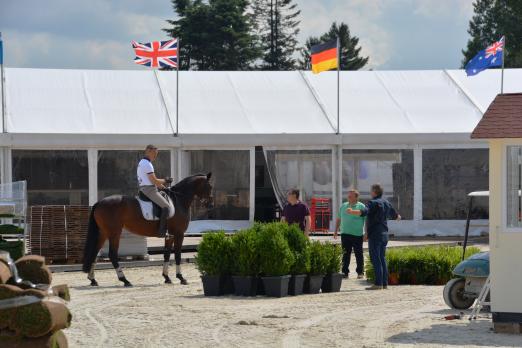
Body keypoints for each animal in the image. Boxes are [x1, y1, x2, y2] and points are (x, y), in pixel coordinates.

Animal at [81, 173, 211, 286]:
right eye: (209, 187)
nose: (210, 204)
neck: (178, 200)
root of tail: (99, 202)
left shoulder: (170, 236)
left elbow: (166, 254)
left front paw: (166, 277)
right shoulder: (179, 234)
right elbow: (177, 255)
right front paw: (181, 278)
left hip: (103, 233)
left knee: (94, 253)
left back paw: (93, 279)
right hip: (114, 233)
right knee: (112, 255)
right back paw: (125, 280)